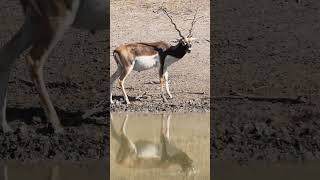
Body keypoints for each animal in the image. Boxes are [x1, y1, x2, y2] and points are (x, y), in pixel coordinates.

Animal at [0, 0, 107, 132]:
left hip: (35, 22)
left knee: (7, 53)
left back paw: (5, 127)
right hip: (57, 21)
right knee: (33, 60)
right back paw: (57, 126)